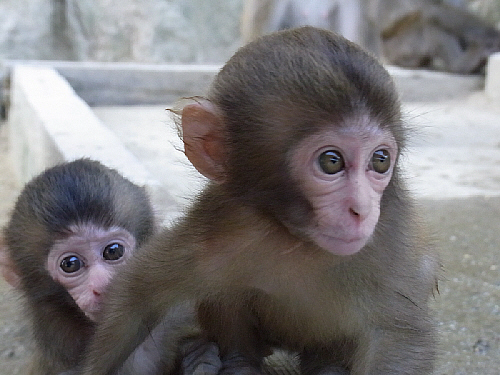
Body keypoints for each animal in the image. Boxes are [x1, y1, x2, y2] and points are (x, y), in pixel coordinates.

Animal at [84, 27, 440, 374]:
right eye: (331, 162)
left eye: (380, 160)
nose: (362, 210)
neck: (296, 238)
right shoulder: (223, 221)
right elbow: (138, 293)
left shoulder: (386, 239)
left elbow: (398, 334)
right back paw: (231, 362)